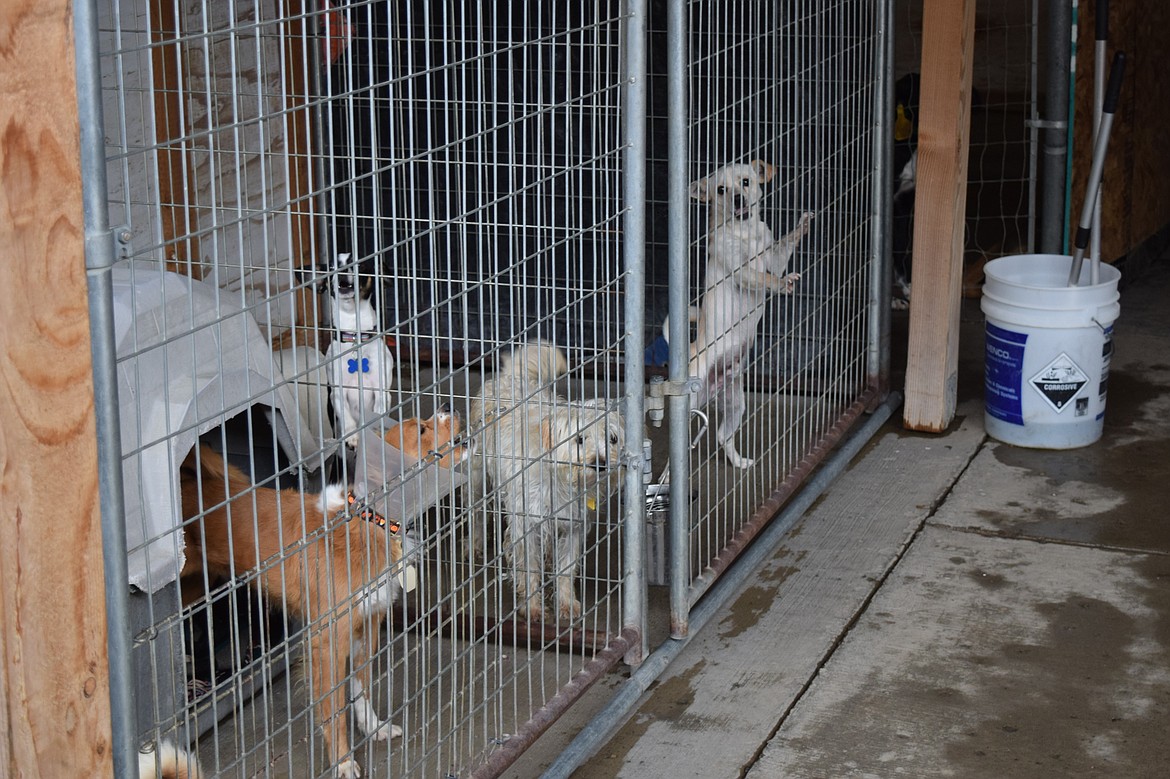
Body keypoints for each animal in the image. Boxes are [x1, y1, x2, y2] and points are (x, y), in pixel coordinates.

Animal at [179, 446, 407, 771]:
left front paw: (375, 728)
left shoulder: (368, 626)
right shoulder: (327, 643)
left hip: (200, 584)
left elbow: (362, 689)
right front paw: (342, 762)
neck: (364, 524)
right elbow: (334, 710)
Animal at [683, 159, 814, 467]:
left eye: (745, 182)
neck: (745, 232)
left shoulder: (772, 256)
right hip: (691, 403)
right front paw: (783, 284)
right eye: (721, 190)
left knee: (722, 436)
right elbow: (766, 278)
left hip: (735, 405)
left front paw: (800, 228)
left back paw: (739, 462)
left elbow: (782, 246)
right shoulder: (742, 271)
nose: (738, 199)